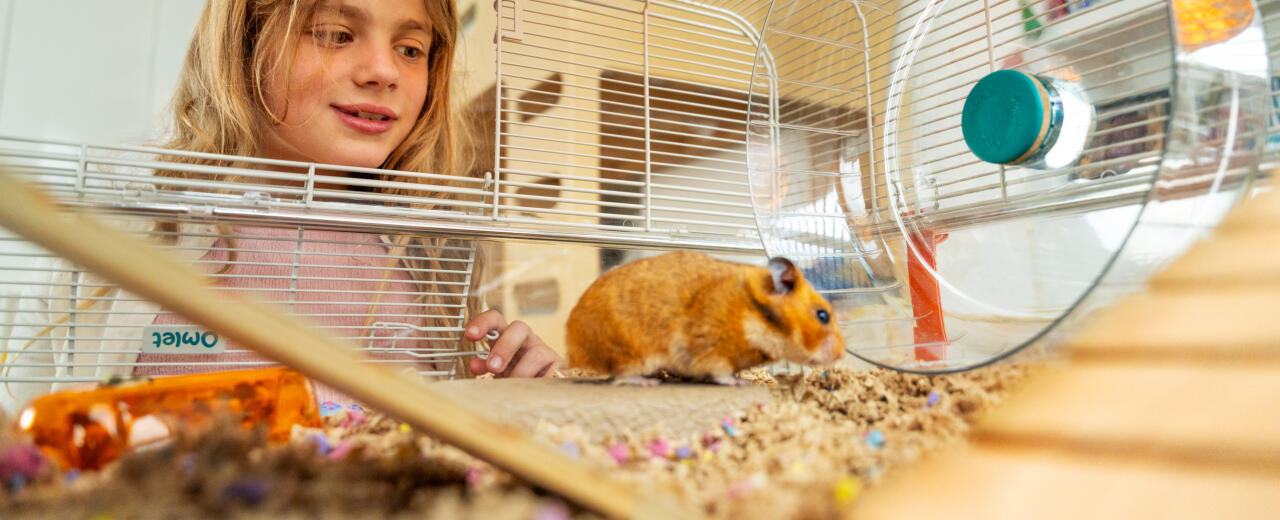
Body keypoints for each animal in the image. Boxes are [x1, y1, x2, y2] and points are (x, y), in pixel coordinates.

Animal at [565, 249, 844, 384]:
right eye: (822, 315)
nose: (841, 354)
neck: (751, 314)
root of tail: (572, 351)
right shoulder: (710, 348)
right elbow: (721, 373)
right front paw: (739, 383)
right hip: (629, 352)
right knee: (620, 375)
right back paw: (646, 382)